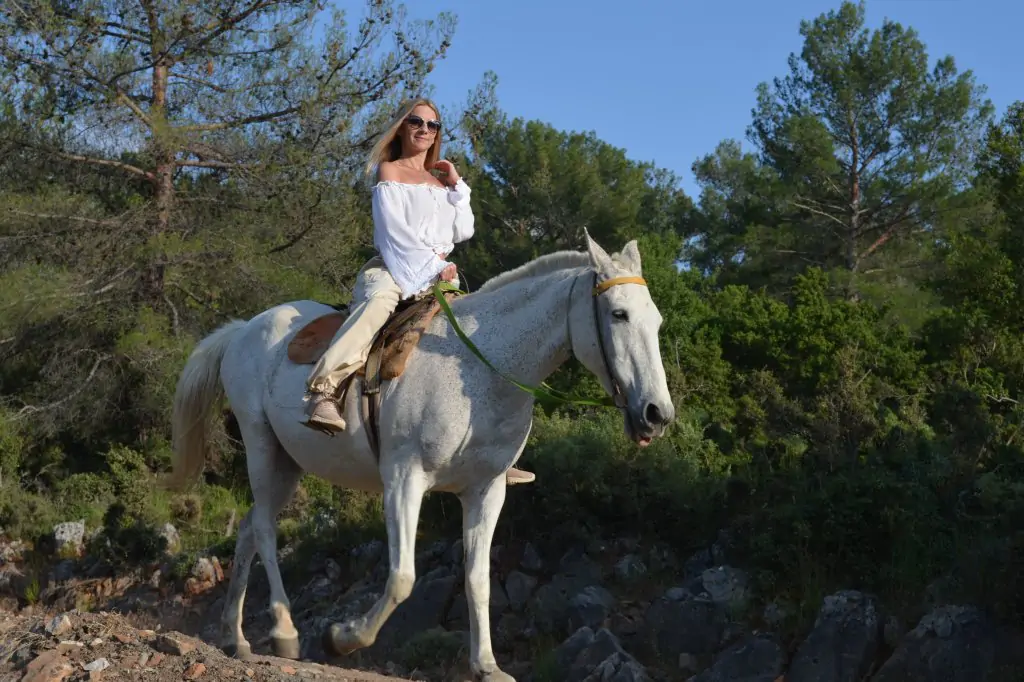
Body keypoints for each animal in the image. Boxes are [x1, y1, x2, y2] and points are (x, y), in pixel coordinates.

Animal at [167, 231, 675, 675]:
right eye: (618, 314)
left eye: (656, 321)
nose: (657, 413)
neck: (480, 369)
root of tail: (242, 331)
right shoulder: (405, 479)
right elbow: (402, 577)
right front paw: (344, 638)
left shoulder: (486, 491)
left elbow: (477, 580)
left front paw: (486, 666)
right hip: (261, 445)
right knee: (266, 533)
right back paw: (285, 631)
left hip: (288, 463)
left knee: (249, 530)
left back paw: (235, 637)